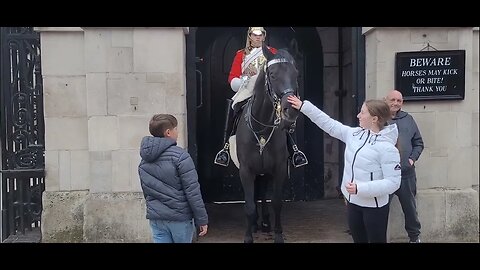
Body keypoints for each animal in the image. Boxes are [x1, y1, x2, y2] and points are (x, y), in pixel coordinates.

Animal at [234, 43, 298, 243]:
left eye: (295, 74)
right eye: (273, 74)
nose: (290, 110)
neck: (261, 128)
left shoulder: (278, 169)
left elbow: (276, 203)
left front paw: (278, 234)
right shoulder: (245, 170)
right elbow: (248, 205)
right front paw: (248, 236)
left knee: (262, 192)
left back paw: (265, 222)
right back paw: (255, 224)